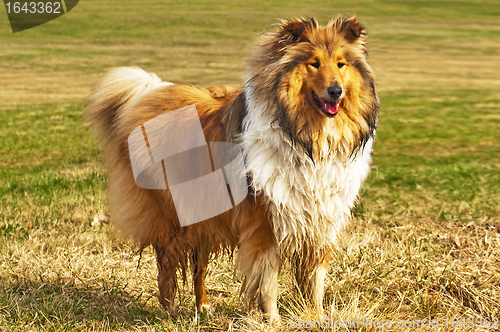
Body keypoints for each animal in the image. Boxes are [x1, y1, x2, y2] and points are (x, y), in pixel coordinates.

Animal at [87, 15, 378, 320]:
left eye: (341, 64)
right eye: (314, 63)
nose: (336, 92)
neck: (306, 139)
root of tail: (148, 94)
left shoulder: (320, 221)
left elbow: (315, 281)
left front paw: (317, 317)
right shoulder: (266, 222)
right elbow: (268, 282)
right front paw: (272, 320)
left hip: (203, 210)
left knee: (198, 265)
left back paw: (202, 306)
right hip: (171, 216)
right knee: (166, 265)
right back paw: (169, 312)